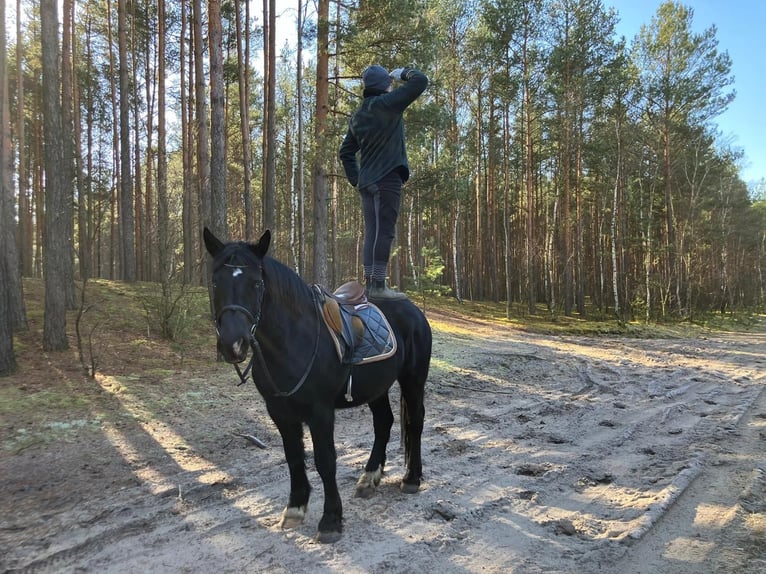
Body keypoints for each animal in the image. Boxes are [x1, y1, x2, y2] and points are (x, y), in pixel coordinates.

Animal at [202, 230, 432, 544]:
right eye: (216, 282)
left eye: (256, 283)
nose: (232, 344)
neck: (293, 340)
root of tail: (414, 310)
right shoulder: (279, 411)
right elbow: (294, 457)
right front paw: (295, 508)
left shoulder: (320, 411)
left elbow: (325, 460)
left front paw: (331, 520)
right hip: (377, 387)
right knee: (384, 422)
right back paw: (369, 477)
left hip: (413, 379)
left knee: (414, 423)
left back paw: (411, 479)